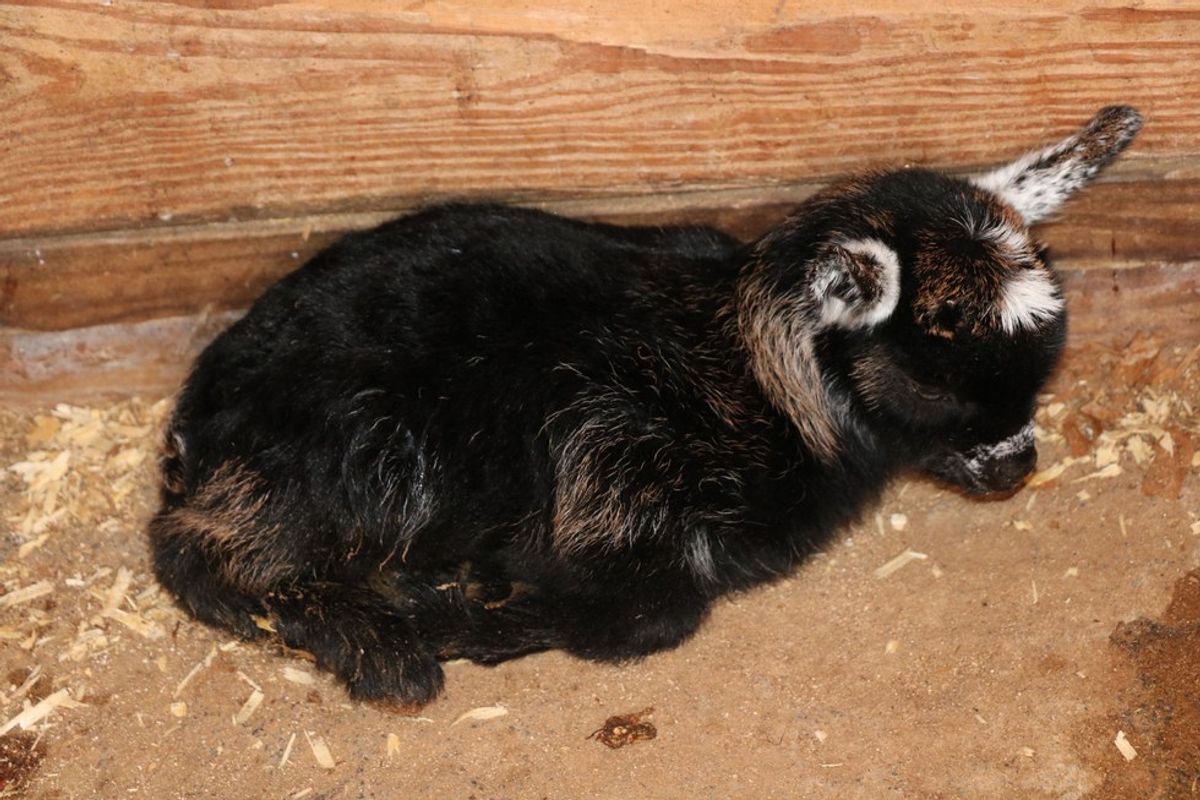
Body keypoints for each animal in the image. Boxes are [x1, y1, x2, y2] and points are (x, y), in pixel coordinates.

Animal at [150, 107, 1142, 705]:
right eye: (932, 382)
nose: (1017, 467)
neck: (753, 379)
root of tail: (192, 431)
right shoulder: (615, 457)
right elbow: (655, 613)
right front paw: (475, 614)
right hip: (374, 451)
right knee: (197, 557)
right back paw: (385, 649)